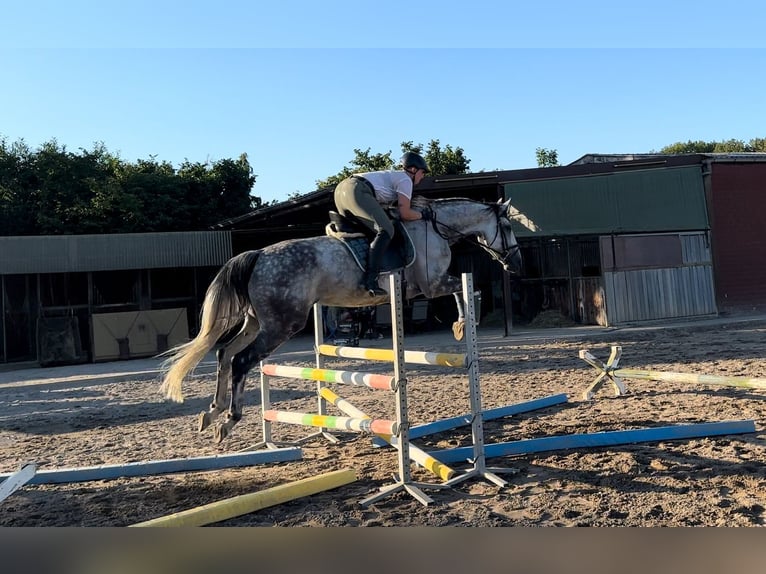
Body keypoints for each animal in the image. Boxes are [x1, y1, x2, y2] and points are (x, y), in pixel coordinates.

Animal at [160, 197, 523, 443]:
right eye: (507, 227)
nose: (515, 263)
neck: (435, 229)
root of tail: (259, 254)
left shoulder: (428, 287)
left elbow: (465, 291)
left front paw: (463, 325)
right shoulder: (432, 284)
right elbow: (468, 291)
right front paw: (463, 326)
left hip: (255, 322)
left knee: (224, 353)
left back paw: (212, 412)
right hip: (281, 325)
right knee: (241, 361)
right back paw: (228, 419)